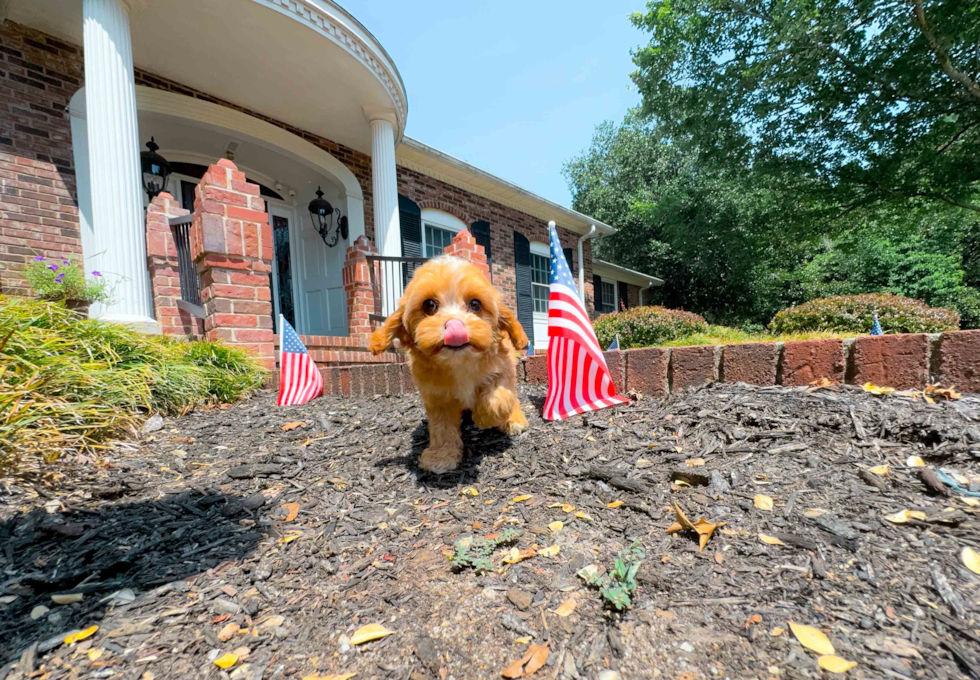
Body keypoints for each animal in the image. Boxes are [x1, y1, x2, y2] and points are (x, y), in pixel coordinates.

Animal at [370, 255, 528, 472]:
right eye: (429, 305)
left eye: (475, 304)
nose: (455, 325)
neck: (460, 362)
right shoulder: (437, 396)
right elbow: (442, 426)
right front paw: (441, 456)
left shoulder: (503, 368)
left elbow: (499, 397)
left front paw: (484, 418)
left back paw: (514, 419)